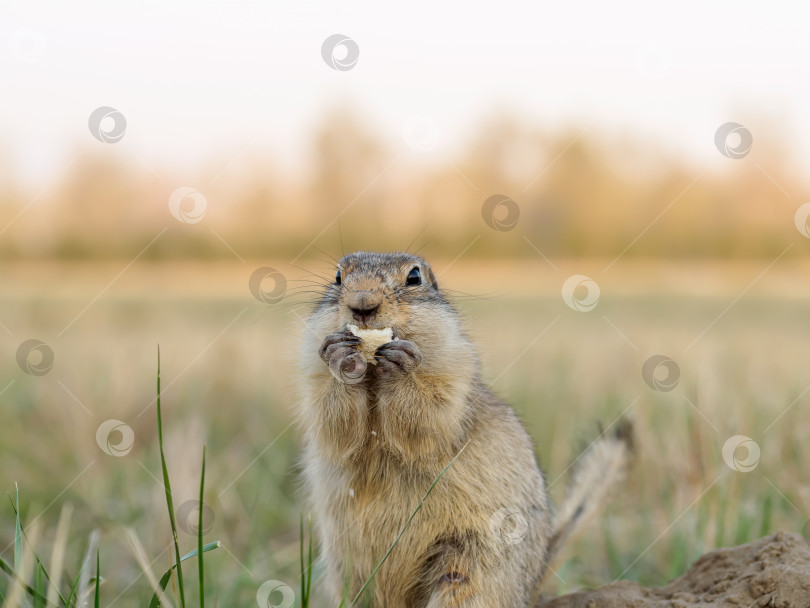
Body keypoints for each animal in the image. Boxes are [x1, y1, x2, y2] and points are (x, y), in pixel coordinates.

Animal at [296, 249, 632, 604]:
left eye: (414, 276)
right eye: (337, 277)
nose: (362, 303)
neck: (373, 377)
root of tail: (534, 582)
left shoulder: (454, 373)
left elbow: (430, 414)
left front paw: (402, 364)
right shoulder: (312, 375)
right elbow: (332, 421)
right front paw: (341, 356)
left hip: (470, 568)